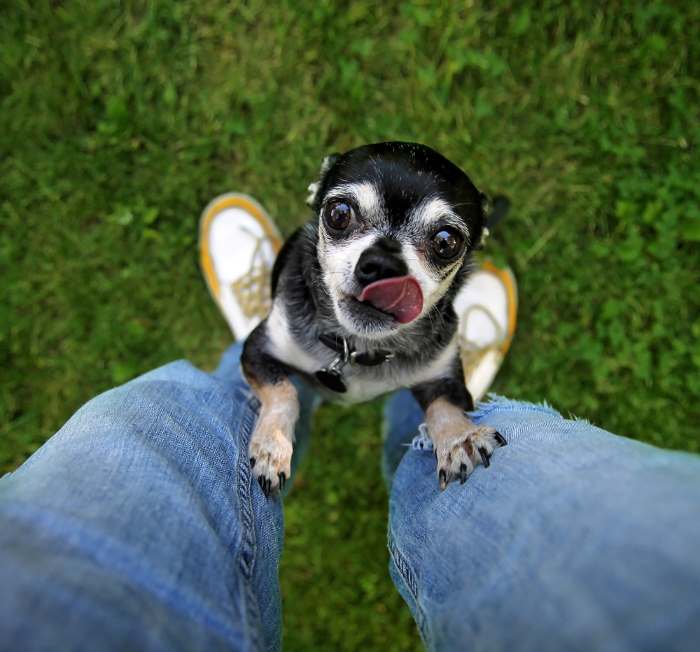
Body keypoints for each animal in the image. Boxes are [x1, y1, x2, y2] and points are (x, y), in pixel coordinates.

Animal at [241, 143, 504, 494]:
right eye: (339, 214)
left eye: (446, 241)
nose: (382, 264)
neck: (358, 348)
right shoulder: (259, 350)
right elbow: (284, 392)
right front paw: (273, 447)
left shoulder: (442, 377)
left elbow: (445, 408)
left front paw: (460, 438)